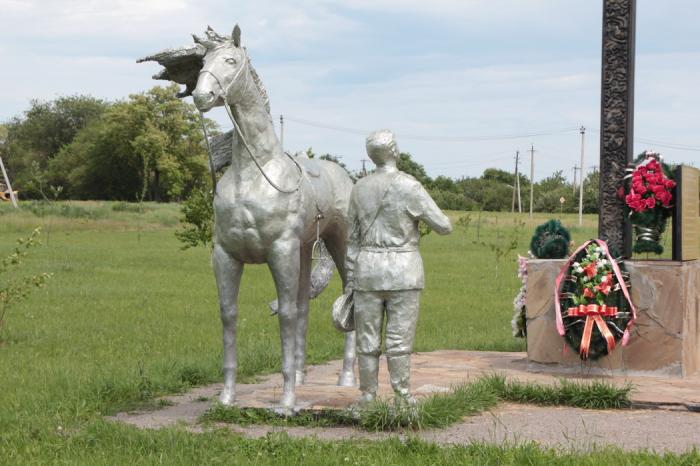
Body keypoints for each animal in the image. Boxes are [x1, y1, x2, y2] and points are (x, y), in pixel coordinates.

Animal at [138, 25, 356, 412]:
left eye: (230, 60)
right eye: (202, 63)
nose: (203, 95)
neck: (253, 175)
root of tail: (345, 175)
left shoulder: (280, 251)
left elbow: (285, 315)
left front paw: (286, 403)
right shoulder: (226, 255)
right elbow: (230, 314)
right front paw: (227, 397)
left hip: (337, 243)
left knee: (346, 294)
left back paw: (346, 379)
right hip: (304, 251)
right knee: (304, 306)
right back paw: (303, 377)